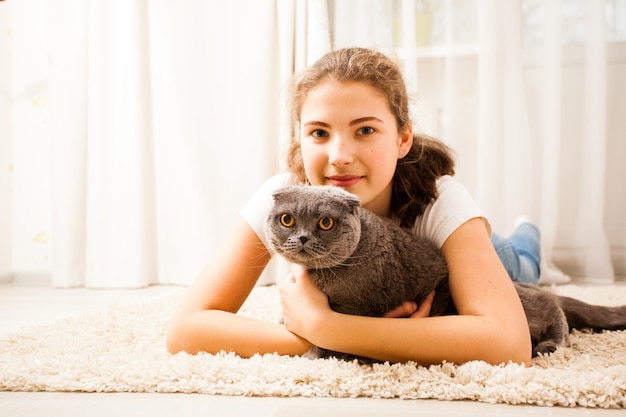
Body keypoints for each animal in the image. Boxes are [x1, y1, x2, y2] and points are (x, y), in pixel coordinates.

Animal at [264, 184, 624, 362]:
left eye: (325, 223)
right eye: (287, 220)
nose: (302, 237)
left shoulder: (354, 309)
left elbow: (324, 332)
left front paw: (312, 355)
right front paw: (281, 321)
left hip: (518, 305)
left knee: (552, 307)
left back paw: (549, 344)